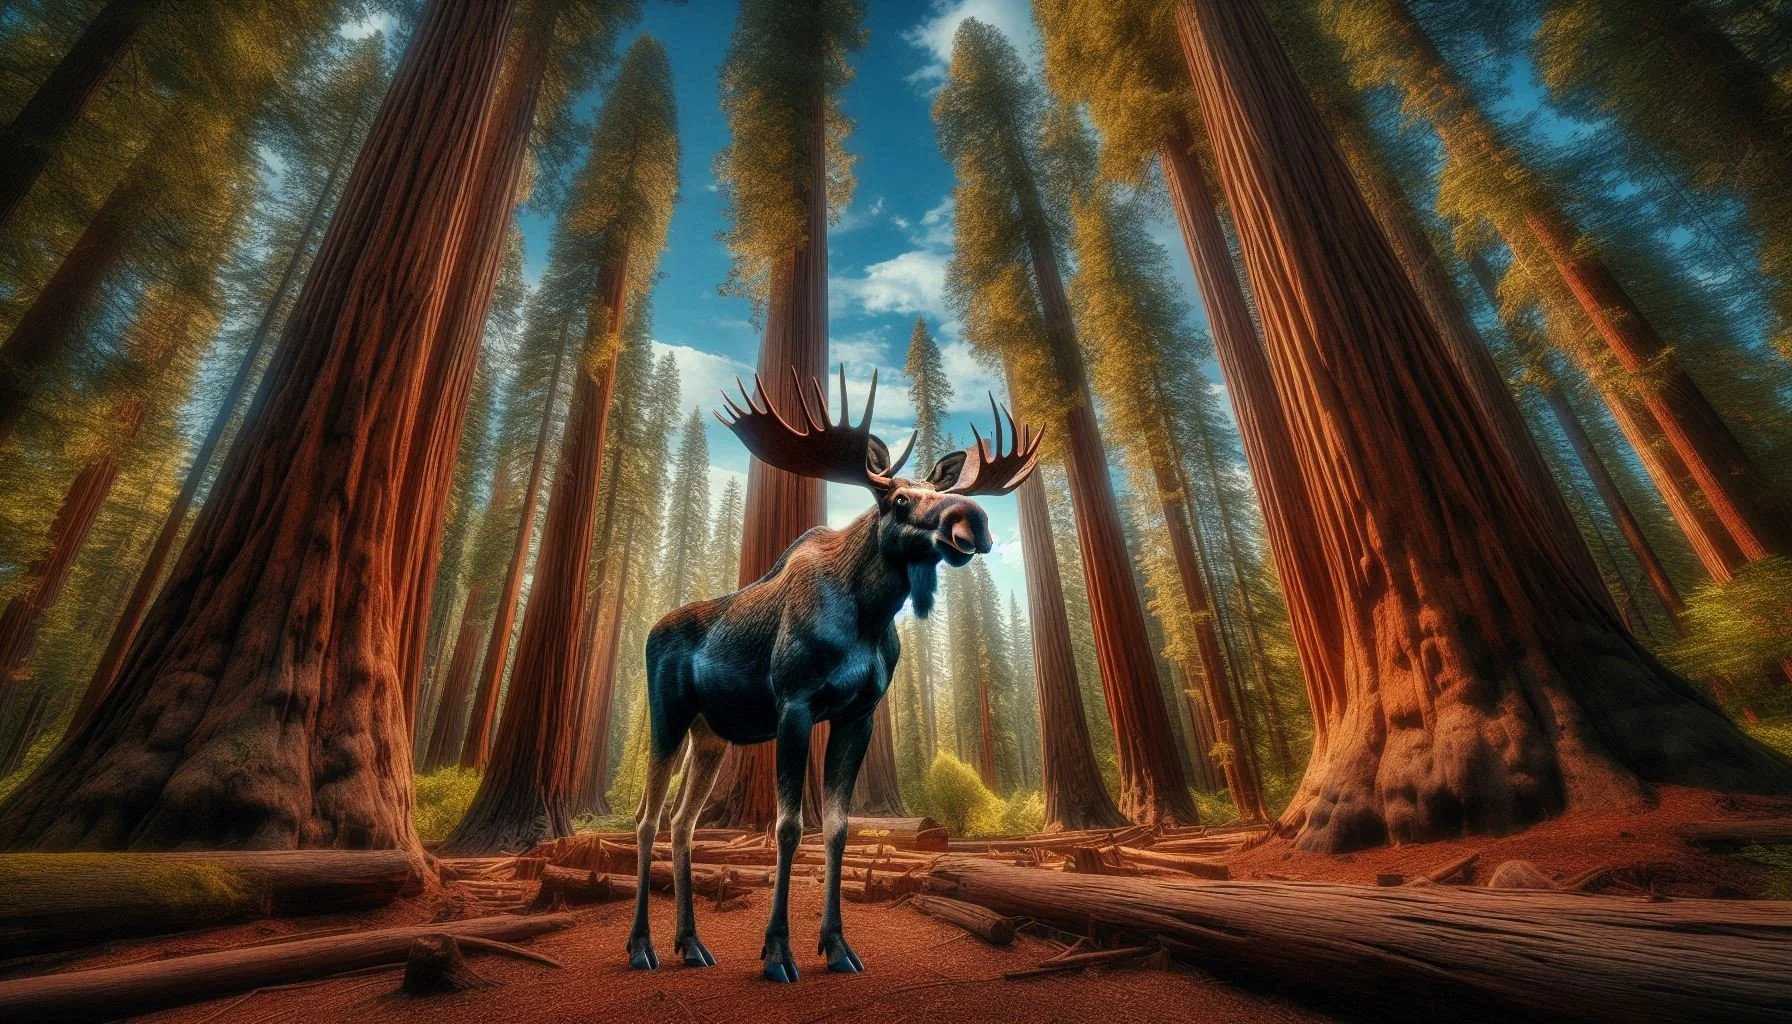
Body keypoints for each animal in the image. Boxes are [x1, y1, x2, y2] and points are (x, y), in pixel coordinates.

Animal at [625, 366, 1041, 983]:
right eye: (899, 498)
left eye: (951, 495)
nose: (973, 522)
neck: (868, 617)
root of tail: (652, 629)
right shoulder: (795, 706)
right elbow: (789, 827)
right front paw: (778, 952)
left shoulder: (858, 715)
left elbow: (840, 829)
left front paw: (838, 946)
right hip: (669, 718)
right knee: (646, 820)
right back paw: (642, 947)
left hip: (712, 735)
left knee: (683, 823)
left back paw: (692, 943)